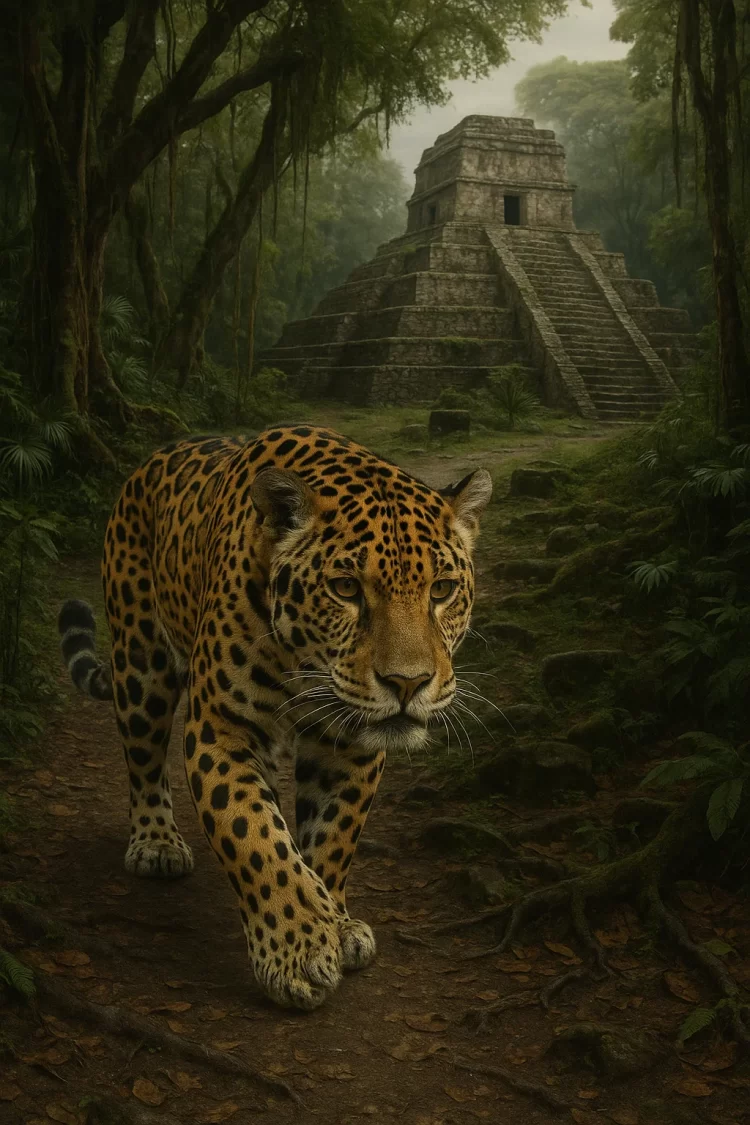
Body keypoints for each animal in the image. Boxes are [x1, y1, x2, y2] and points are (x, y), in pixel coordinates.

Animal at [58, 424, 491, 1010]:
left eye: (442, 589)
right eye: (346, 588)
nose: (408, 683)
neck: (305, 665)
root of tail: (156, 457)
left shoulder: (350, 746)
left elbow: (332, 836)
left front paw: (337, 923)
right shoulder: (222, 729)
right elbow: (254, 833)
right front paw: (297, 951)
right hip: (139, 662)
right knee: (143, 757)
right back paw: (156, 843)